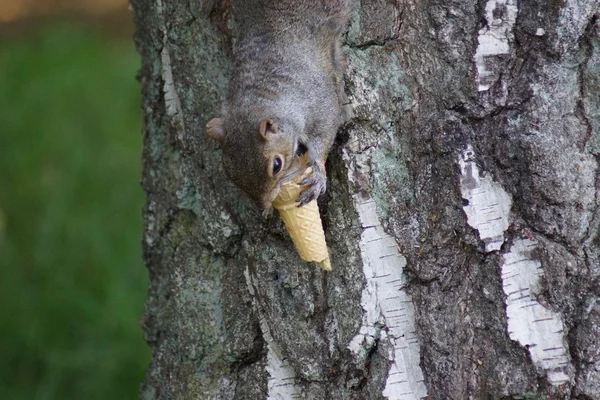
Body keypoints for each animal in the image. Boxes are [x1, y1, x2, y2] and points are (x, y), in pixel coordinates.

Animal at [205, 0, 350, 209]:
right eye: (229, 171)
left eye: (277, 165)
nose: (264, 206)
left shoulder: (320, 105)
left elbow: (324, 135)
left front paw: (318, 175)